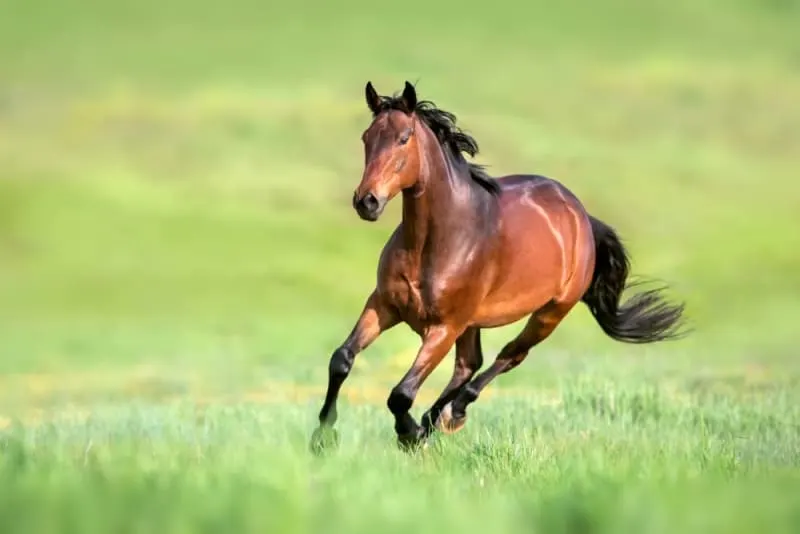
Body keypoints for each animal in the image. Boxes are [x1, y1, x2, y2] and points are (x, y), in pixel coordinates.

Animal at [309, 81, 688, 453]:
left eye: (404, 138)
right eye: (367, 137)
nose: (367, 201)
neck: (435, 241)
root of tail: (579, 214)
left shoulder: (444, 327)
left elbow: (401, 394)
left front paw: (409, 434)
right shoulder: (384, 305)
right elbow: (341, 359)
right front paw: (323, 437)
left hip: (548, 314)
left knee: (508, 357)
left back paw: (450, 415)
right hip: (473, 323)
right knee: (468, 365)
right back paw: (437, 419)